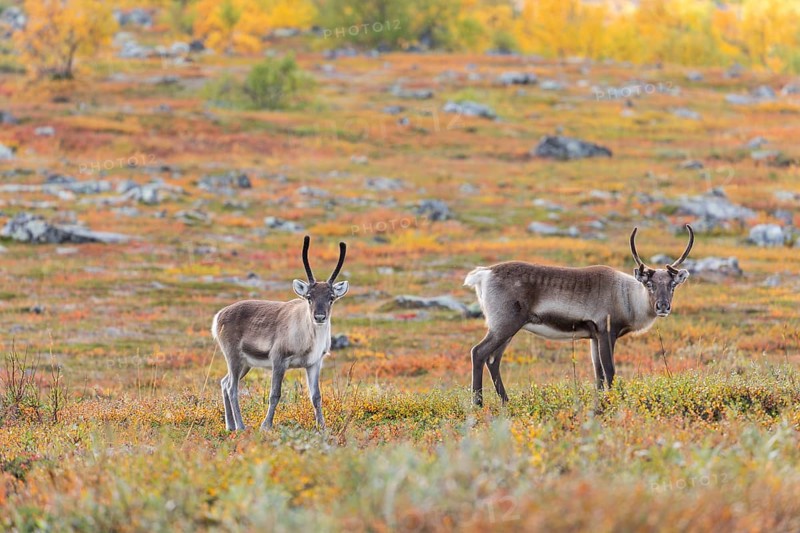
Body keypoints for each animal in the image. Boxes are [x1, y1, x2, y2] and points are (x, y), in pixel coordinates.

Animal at [211, 236, 349, 431]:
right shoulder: (278, 359)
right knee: (232, 388)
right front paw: (266, 425)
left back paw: (230, 426)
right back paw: (241, 426)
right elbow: (275, 394)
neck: (309, 340)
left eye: (331, 298)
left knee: (224, 382)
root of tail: (219, 315)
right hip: (233, 356)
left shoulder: (314, 363)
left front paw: (322, 426)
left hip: (246, 363)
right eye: (309, 297)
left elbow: (316, 396)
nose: (320, 316)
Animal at [464, 224, 694, 406]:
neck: (627, 297)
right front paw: (611, 402)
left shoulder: (593, 337)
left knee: (493, 360)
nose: (662, 306)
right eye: (649, 284)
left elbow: (598, 374)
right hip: (504, 325)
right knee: (478, 352)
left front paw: (600, 401)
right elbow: (610, 371)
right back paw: (478, 404)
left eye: (673, 285)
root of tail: (484, 273)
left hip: (507, 328)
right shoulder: (606, 332)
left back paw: (506, 402)